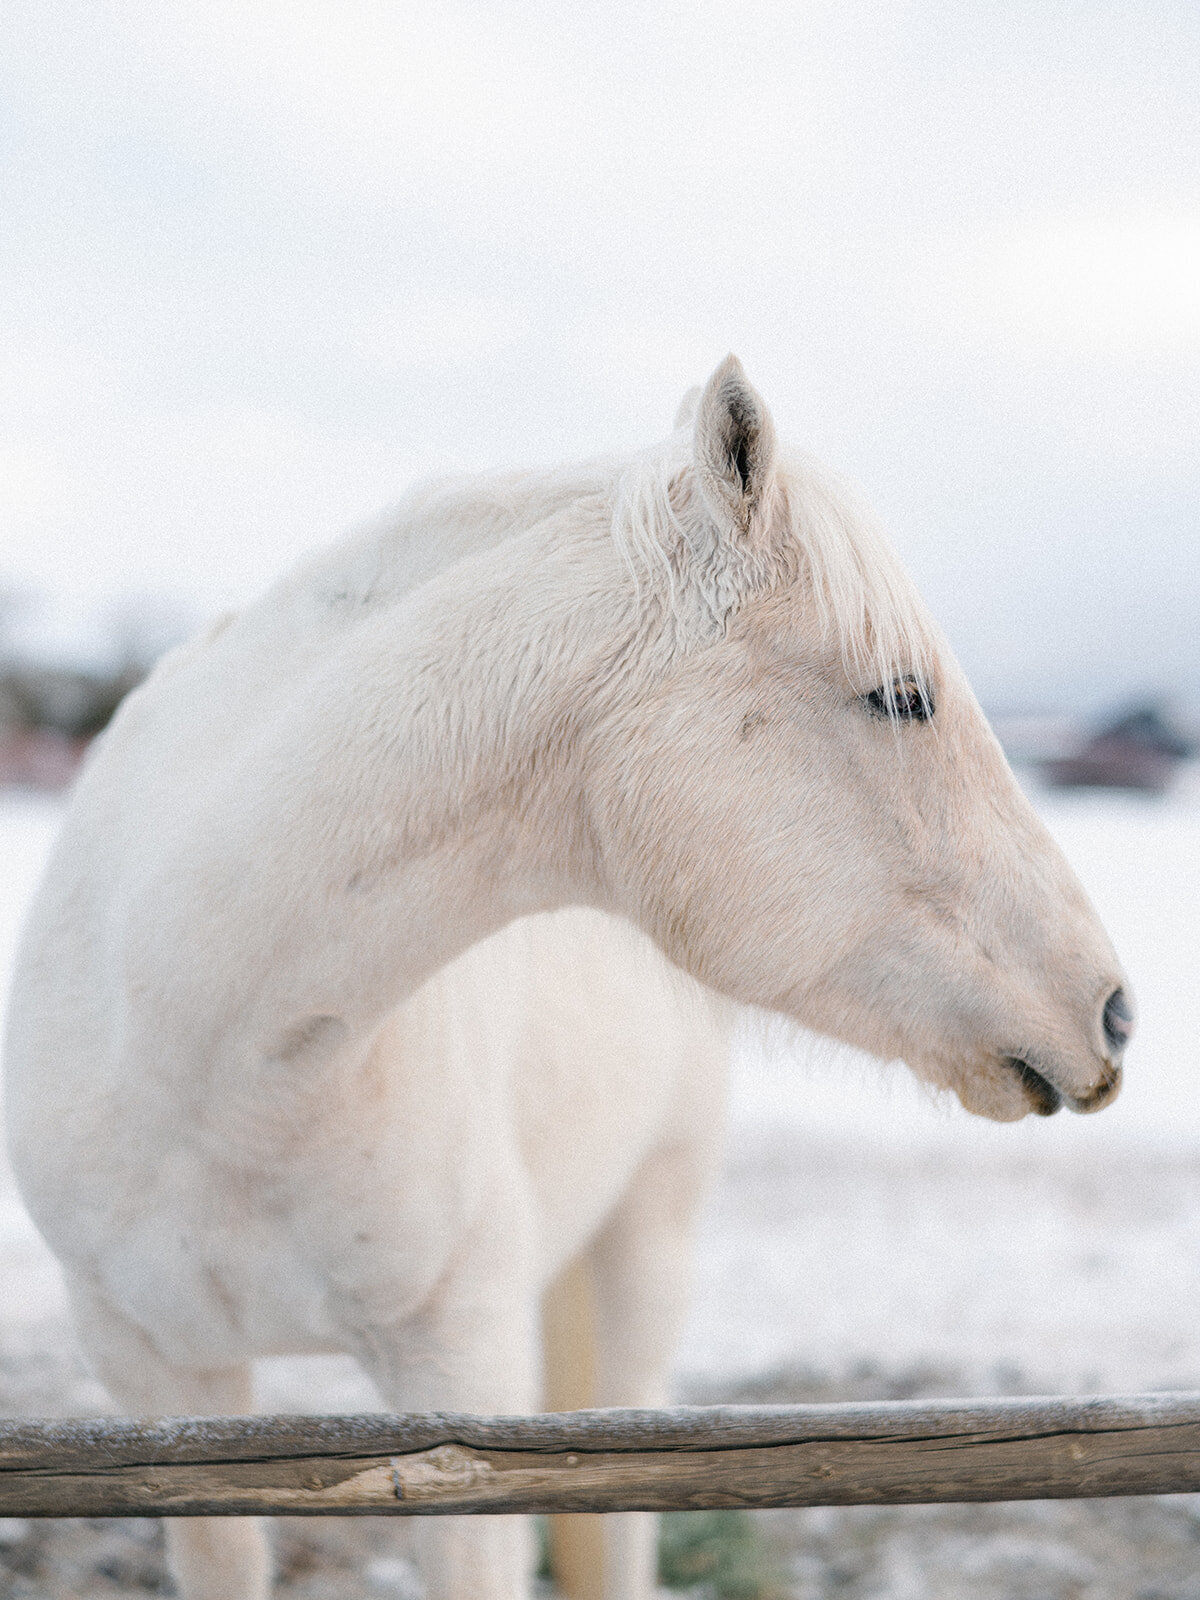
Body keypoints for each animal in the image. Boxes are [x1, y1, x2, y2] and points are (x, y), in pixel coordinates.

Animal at [2, 363, 1126, 1600]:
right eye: (903, 696)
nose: (1112, 1009)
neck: (210, 1063)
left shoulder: (458, 1384)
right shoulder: (159, 1381)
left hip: (647, 1241)